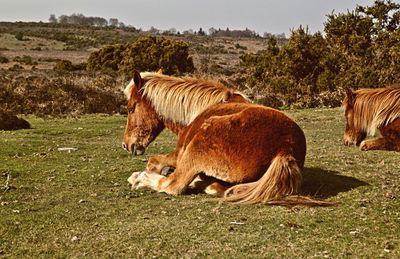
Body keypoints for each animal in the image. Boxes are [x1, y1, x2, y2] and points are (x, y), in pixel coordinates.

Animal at [122, 70, 332, 206]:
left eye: (131, 108)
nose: (126, 144)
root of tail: (285, 149)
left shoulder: (178, 154)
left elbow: (153, 161)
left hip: (198, 146)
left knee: (173, 185)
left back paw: (139, 178)